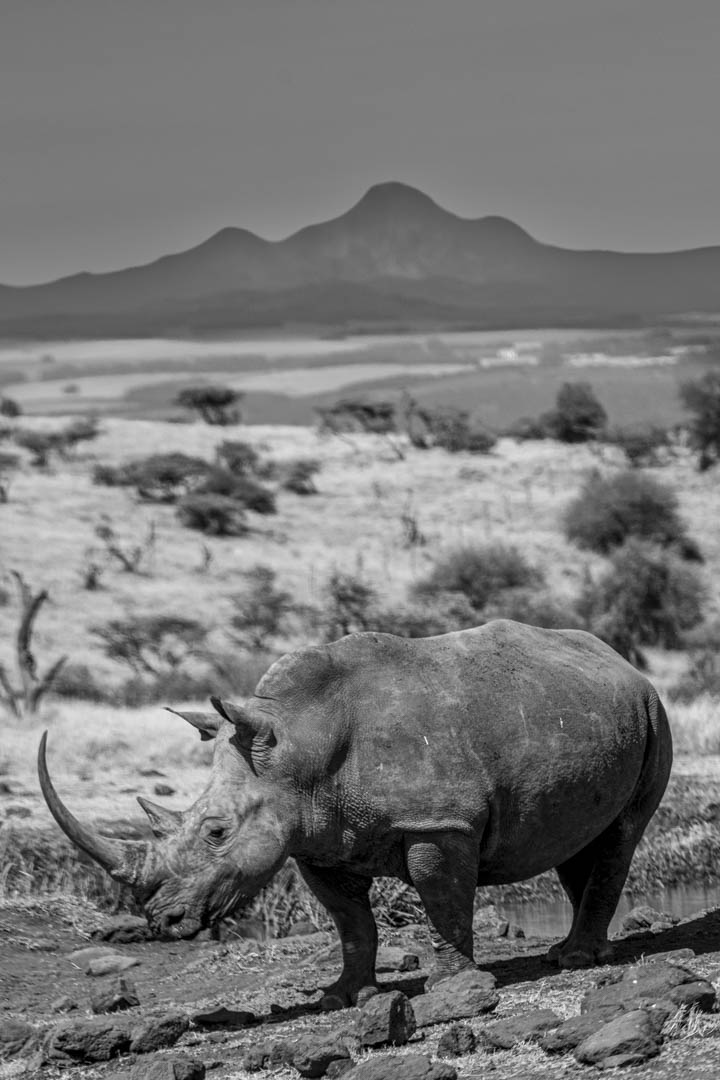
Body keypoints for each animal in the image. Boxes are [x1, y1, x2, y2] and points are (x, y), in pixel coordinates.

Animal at [39, 620, 672, 1007]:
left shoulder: (440, 822)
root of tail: (620, 661)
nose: (162, 922)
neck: (297, 744)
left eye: (216, 832)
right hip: (592, 714)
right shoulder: (316, 839)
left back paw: (577, 959)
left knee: (621, 834)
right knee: (578, 841)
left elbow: (442, 902)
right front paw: (343, 997)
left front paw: (454, 988)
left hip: (653, 710)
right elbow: (351, 923)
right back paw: (570, 952)